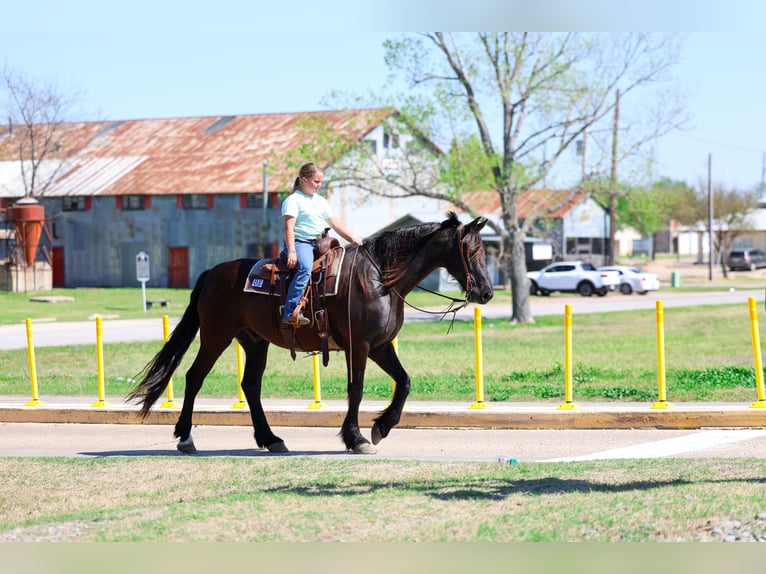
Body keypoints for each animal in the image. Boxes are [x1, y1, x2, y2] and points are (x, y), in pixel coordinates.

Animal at [128, 212, 494, 454]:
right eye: (472, 252)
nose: (487, 293)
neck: (379, 279)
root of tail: (213, 272)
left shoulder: (380, 345)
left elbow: (403, 382)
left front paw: (381, 427)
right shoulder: (359, 346)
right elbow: (356, 390)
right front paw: (356, 438)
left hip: (254, 342)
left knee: (250, 386)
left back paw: (271, 439)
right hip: (216, 336)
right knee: (194, 377)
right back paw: (186, 437)